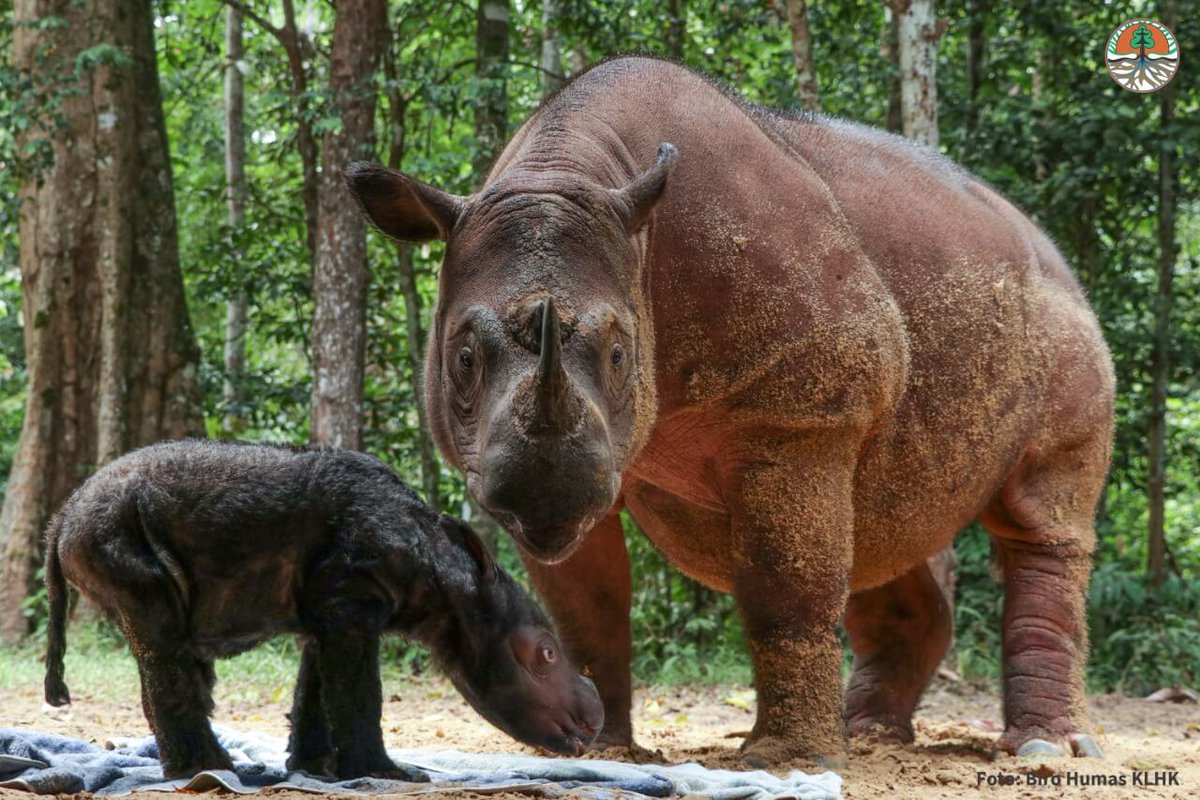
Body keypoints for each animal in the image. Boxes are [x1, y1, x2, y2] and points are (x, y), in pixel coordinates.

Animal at [347, 56, 1113, 766]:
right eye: (463, 358)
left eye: (621, 355)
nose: (545, 491)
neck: (572, 170)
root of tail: (1048, 247)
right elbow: (586, 607)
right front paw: (600, 751)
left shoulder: (798, 419)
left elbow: (786, 587)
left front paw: (788, 759)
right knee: (878, 522)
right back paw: (870, 737)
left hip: (1063, 323)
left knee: (1040, 520)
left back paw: (1042, 750)